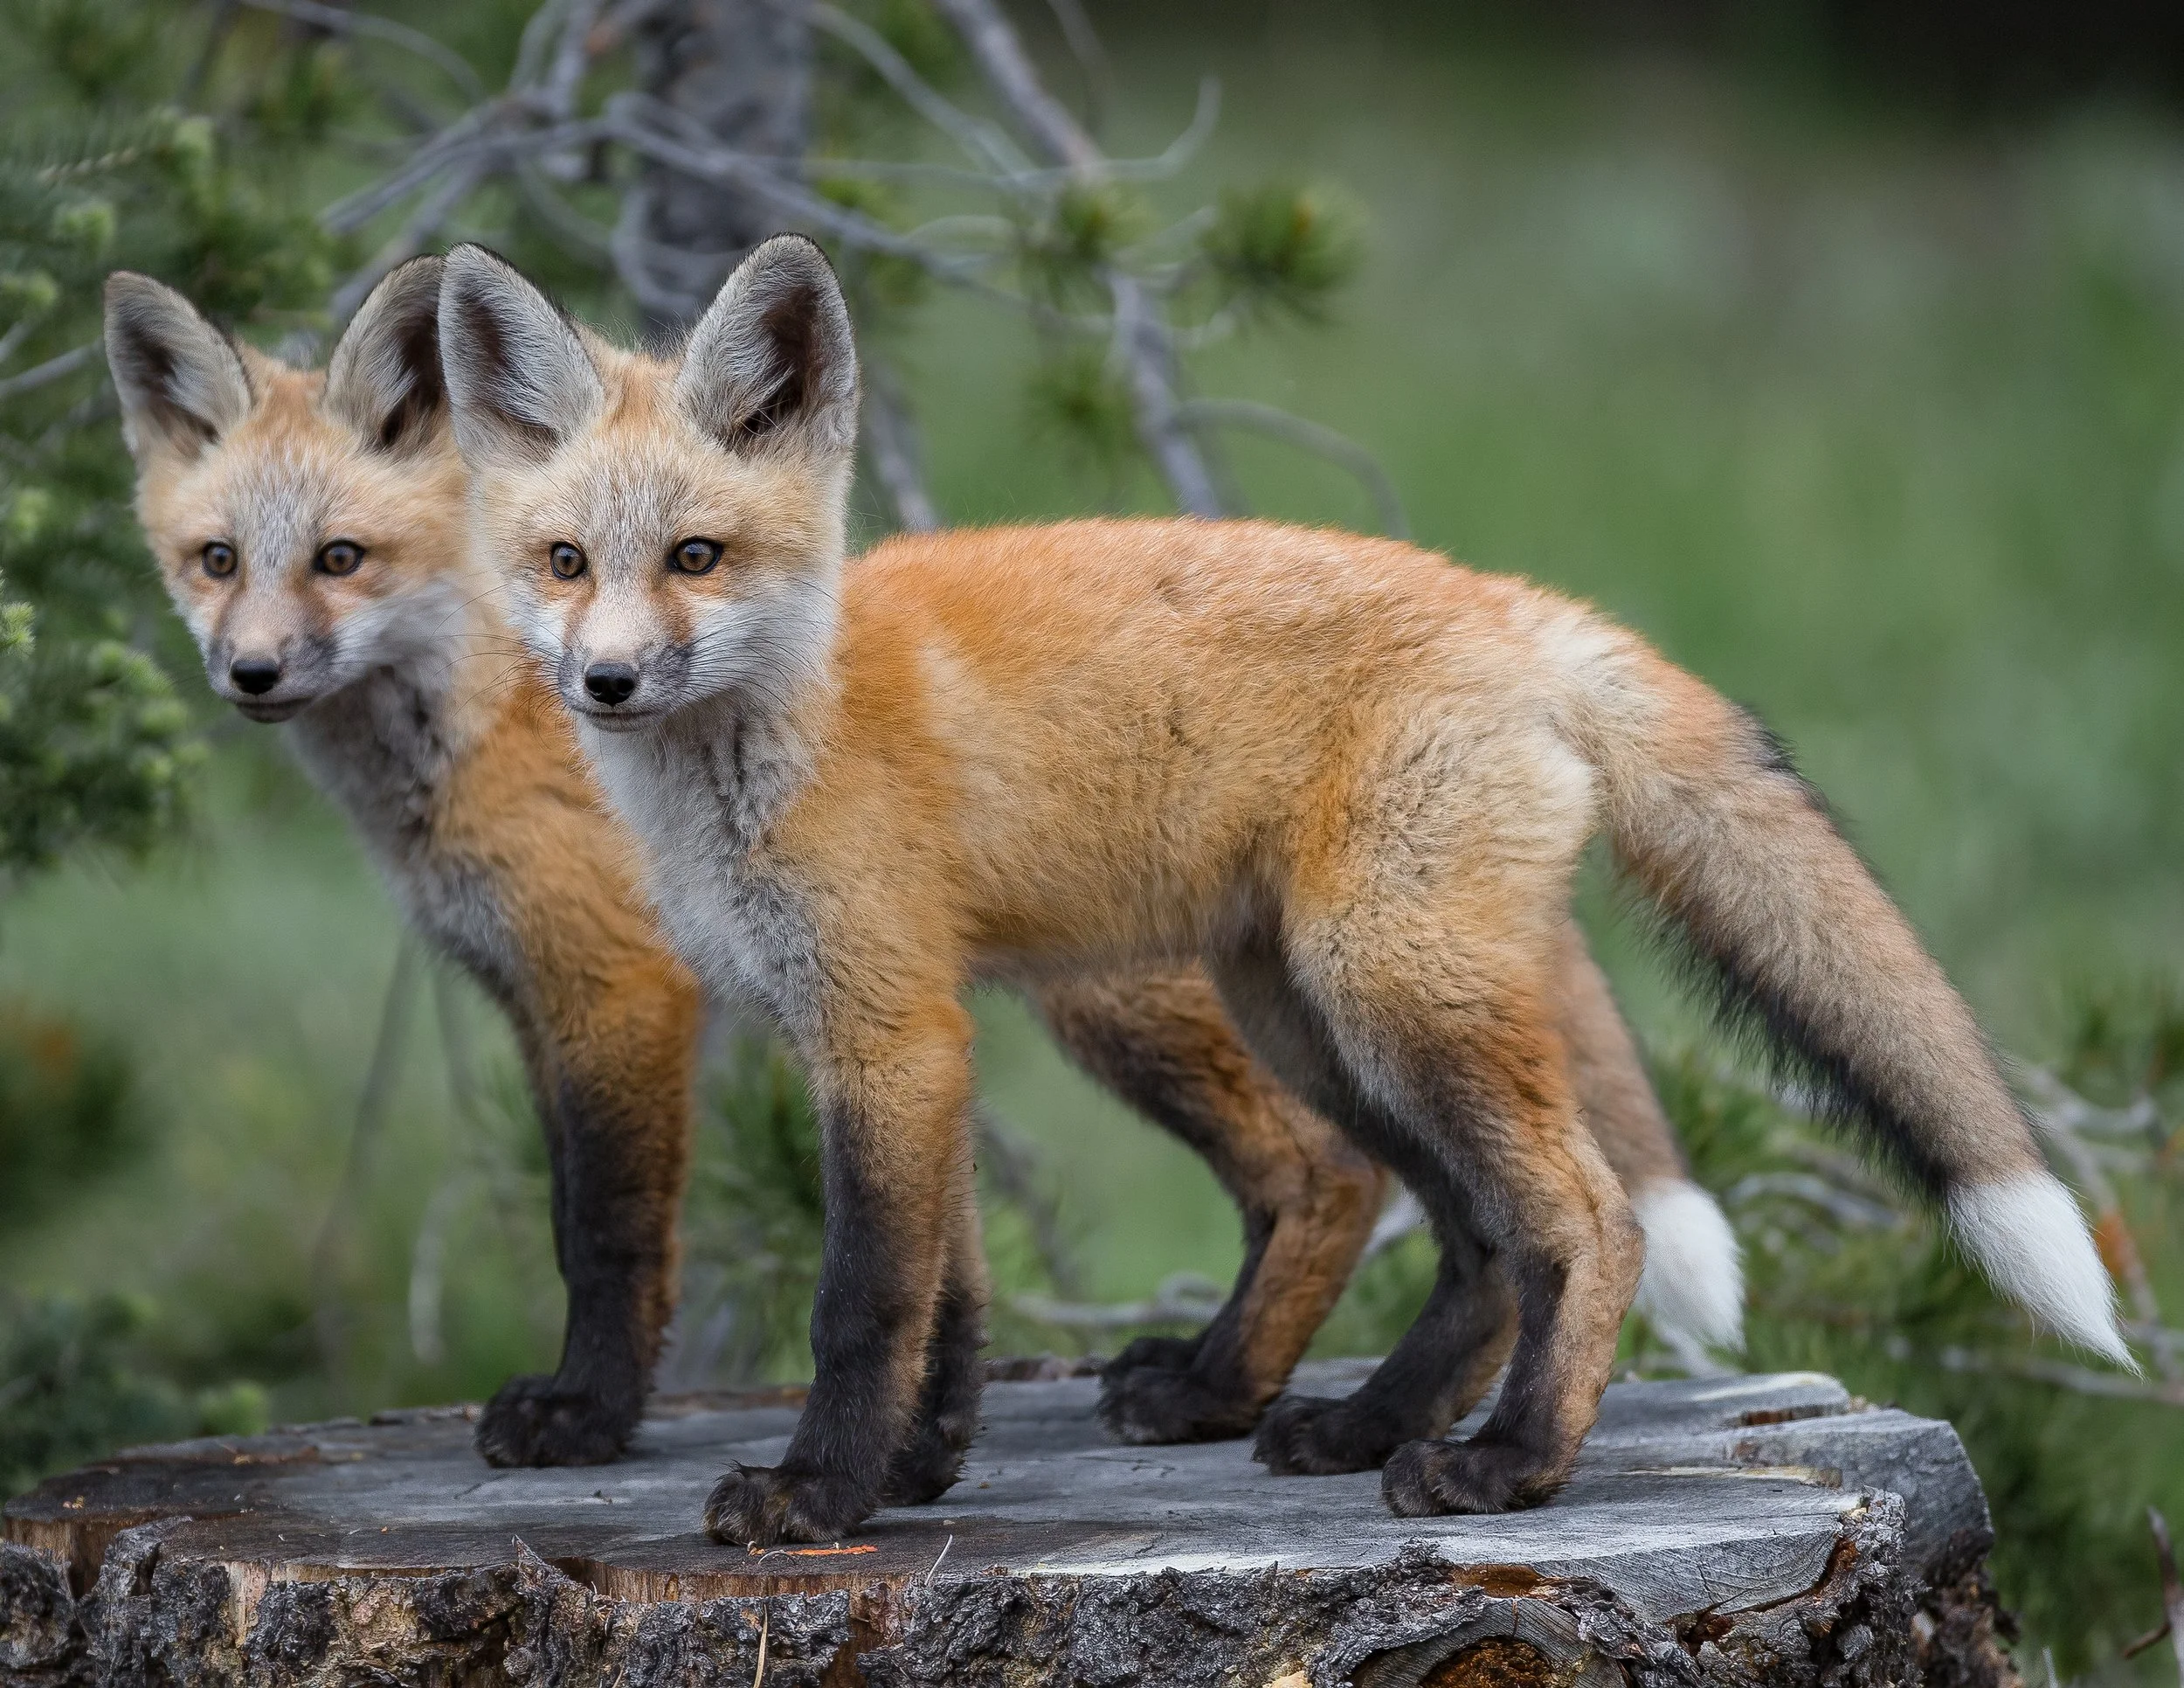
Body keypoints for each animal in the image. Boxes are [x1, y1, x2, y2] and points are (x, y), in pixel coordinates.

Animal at [100, 259, 1741, 1474]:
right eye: (214, 560)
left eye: (341, 558)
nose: (249, 674)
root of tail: (1493, 601)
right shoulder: (633, 998)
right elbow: (901, 1264)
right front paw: (908, 1449)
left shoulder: (626, 992)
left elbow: (613, 1234)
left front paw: (595, 1417)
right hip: (1291, 995)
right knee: (1418, 1201)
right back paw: (1277, 1404)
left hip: (1227, 997)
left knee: (1374, 1180)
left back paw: (1406, 1428)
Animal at [432, 234, 2131, 1547]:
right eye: (567, 559)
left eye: (698, 557)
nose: (605, 682)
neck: (778, 741)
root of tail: (1512, 602)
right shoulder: (888, 1029)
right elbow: (952, 1296)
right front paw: (916, 1469)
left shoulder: (886, 1027)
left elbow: (864, 1303)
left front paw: (815, 1496)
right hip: (1307, 1008)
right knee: (1464, 1235)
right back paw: (1336, 1419)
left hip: (1388, 990)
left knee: (1583, 1219)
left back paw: (1509, 1465)